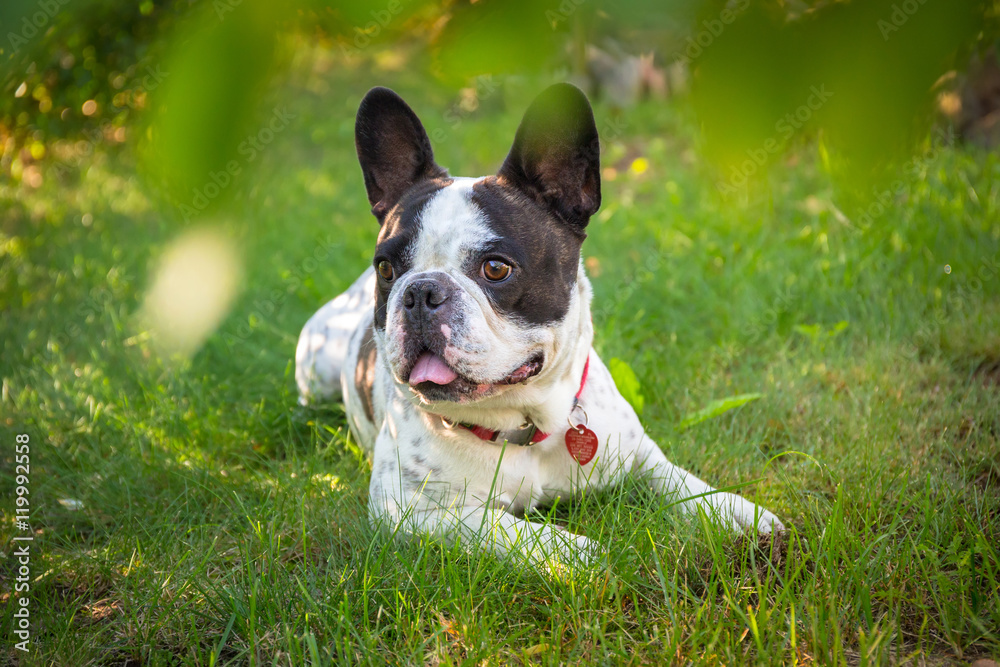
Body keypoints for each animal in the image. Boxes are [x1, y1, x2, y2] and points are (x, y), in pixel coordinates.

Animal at [292, 82, 784, 564]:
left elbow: (683, 484)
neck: (523, 426)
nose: (420, 292)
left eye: (495, 268)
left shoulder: (640, 457)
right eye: (387, 269)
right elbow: (511, 531)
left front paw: (738, 512)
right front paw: (578, 553)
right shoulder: (416, 512)